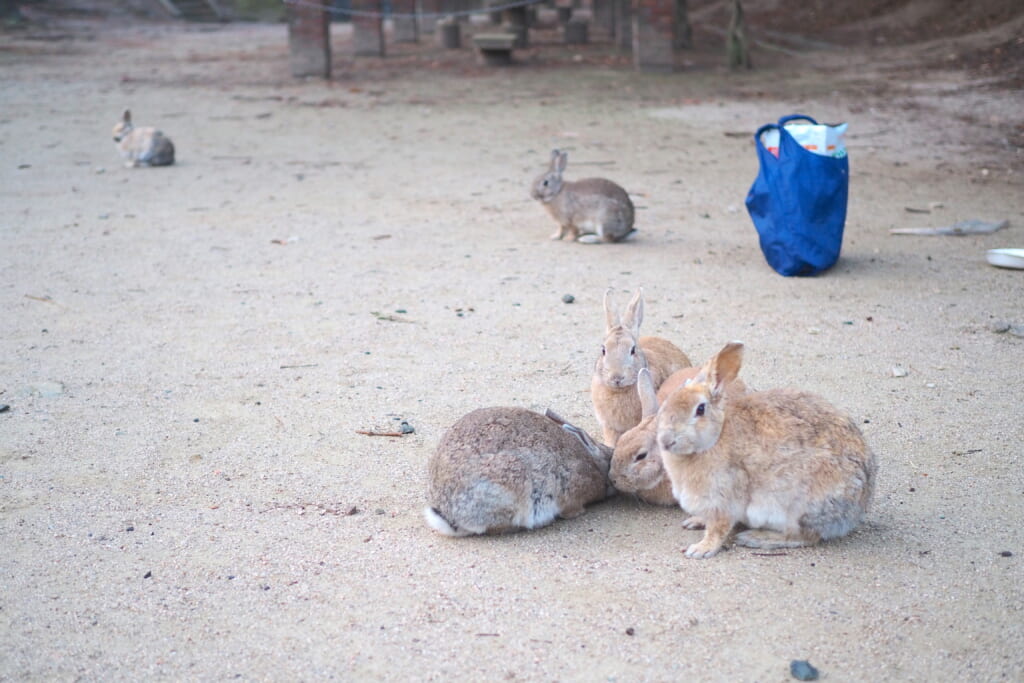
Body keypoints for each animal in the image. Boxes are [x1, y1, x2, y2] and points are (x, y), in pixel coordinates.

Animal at [655, 344, 880, 557]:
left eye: (700, 409)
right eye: (666, 403)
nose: (665, 441)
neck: (716, 436)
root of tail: (861, 503)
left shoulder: (724, 497)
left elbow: (719, 528)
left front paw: (701, 549)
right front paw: (695, 521)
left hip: (800, 507)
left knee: (805, 537)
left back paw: (757, 538)